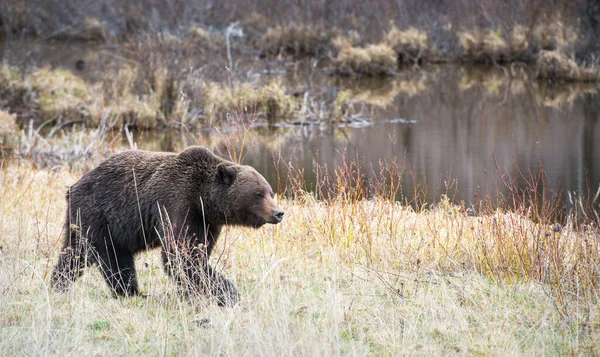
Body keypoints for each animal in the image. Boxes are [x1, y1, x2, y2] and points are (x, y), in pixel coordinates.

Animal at [50, 146, 284, 304]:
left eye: (270, 192)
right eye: (259, 193)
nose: (278, 212)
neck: (203, 199)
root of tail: (73, 186)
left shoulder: (207, 222)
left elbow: (198, 253)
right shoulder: (177, 204)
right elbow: (180, 255)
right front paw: (228, 292)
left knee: (74, 255)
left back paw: (59, 283)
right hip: (98, 215)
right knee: (110, 259)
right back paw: (129, 292)